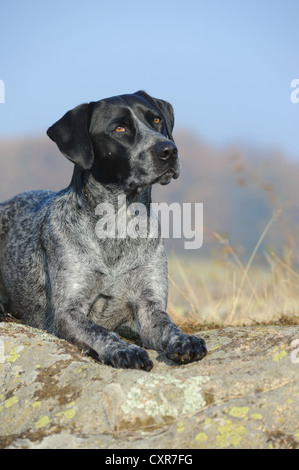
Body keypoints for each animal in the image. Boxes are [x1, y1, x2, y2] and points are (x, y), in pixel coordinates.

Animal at [0, 92, 207, 370]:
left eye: (156, 120)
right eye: (119, 128)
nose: (169, 150)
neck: (118, 226)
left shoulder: (150, 306)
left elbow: (169, 325)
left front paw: (185, 340)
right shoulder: (68, 312)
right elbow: (101, 332)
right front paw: (124, 350)